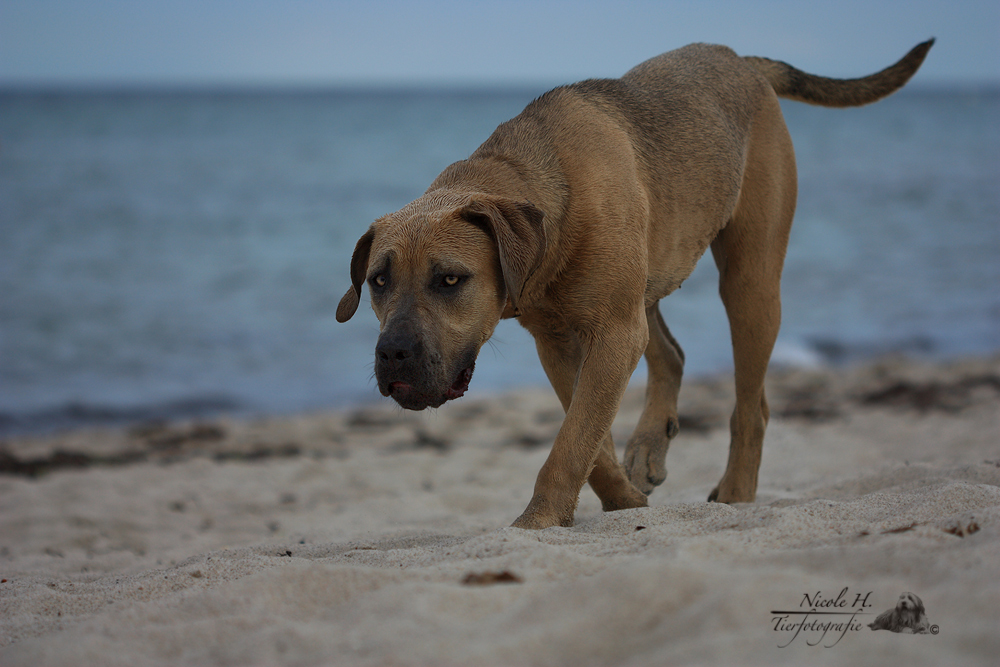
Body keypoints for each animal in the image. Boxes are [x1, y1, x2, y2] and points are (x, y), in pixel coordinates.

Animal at [340, 40, 932, 532]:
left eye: (450, 279)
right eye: (378, 281)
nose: (392, 353)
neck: (544, 191)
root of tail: (741, 60)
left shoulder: (611, 332)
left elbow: (572, 441)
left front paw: (537, 521)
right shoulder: (562, 344)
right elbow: (588, 439)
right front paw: (621, 501)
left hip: (750, 283)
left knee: (751, 406)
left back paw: (737, 491)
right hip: (647, 280)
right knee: (671, 354)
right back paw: (650, 445)